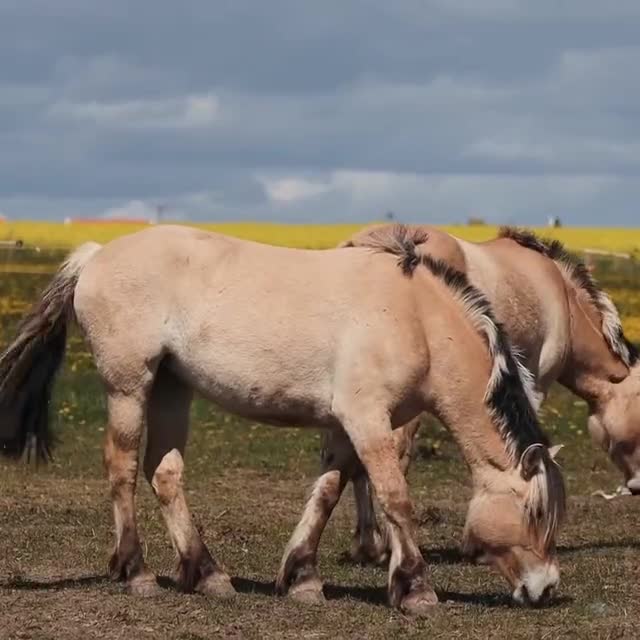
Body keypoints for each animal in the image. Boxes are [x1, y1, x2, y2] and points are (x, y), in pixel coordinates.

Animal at [0, 224, 565, 613]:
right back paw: (136, 572)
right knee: (120, 468)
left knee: (164, 472)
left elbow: (328, 492)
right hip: (128, 386)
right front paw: (416, 589)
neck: (416, 317)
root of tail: (96, 254)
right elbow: (395, 497)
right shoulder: (367, 420)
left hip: (170, 387)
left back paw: (206, 573)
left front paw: (302, 577)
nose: (545, 587)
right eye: (533, 512)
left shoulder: (346, 426)